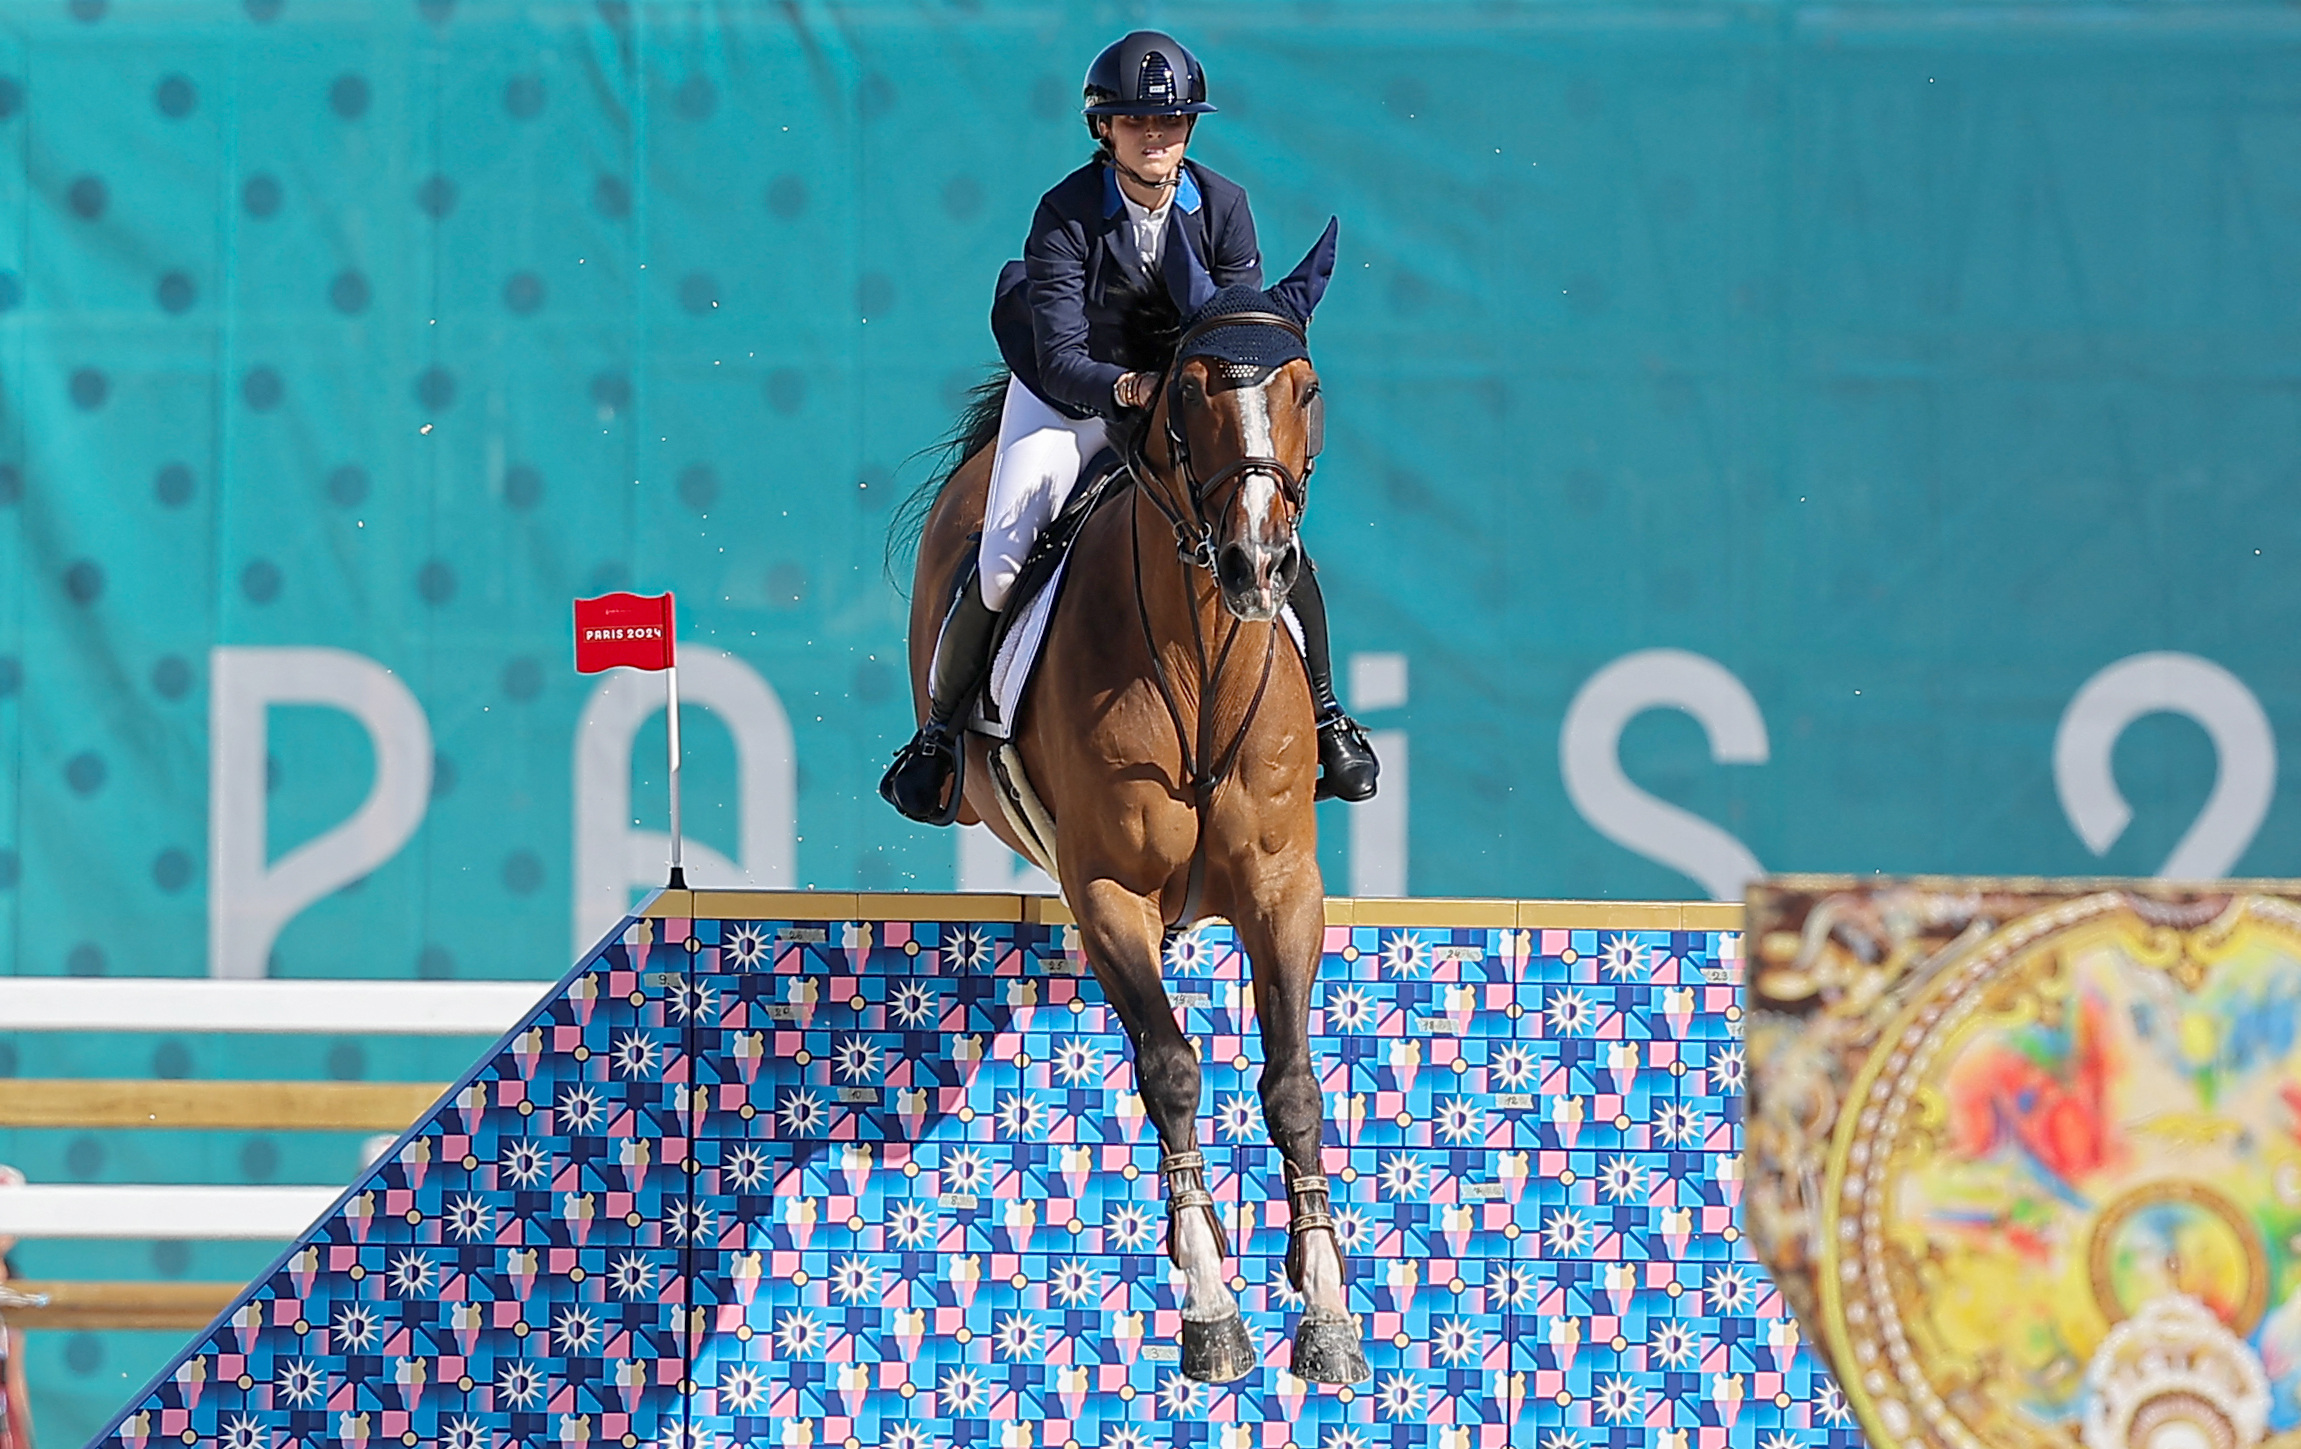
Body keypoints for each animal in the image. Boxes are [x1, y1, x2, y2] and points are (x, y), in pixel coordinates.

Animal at [892, 221, 1362, 1389]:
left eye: (1305, 387)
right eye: (1187, 390)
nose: (1257, 565)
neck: (1199, 657)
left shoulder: (1284, 889)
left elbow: (1292, 1081)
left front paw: (1328, 1308)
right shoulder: (1107, 893)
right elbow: (1172, 1068)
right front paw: (1210, 1306)